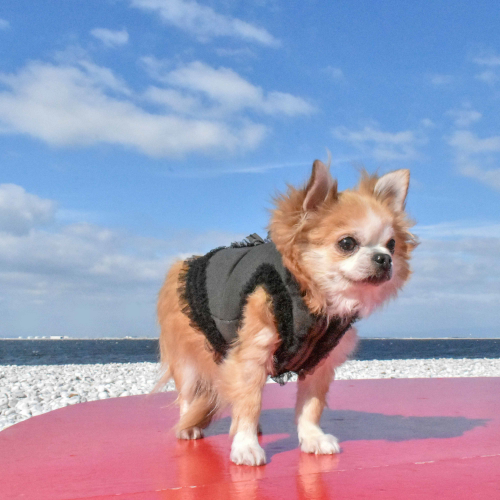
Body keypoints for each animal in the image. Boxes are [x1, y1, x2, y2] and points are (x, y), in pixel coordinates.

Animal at [154, 160, 416, 464]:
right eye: (347, 243)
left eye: (392, 245)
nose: (384, 259)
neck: (312, 300)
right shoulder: (251, 355)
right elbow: (250, 402)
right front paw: (246, 445)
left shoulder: (318, 363)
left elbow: (310, 406)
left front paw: (312, 438)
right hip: (188, 353)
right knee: (189, 393)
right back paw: (188, 426)